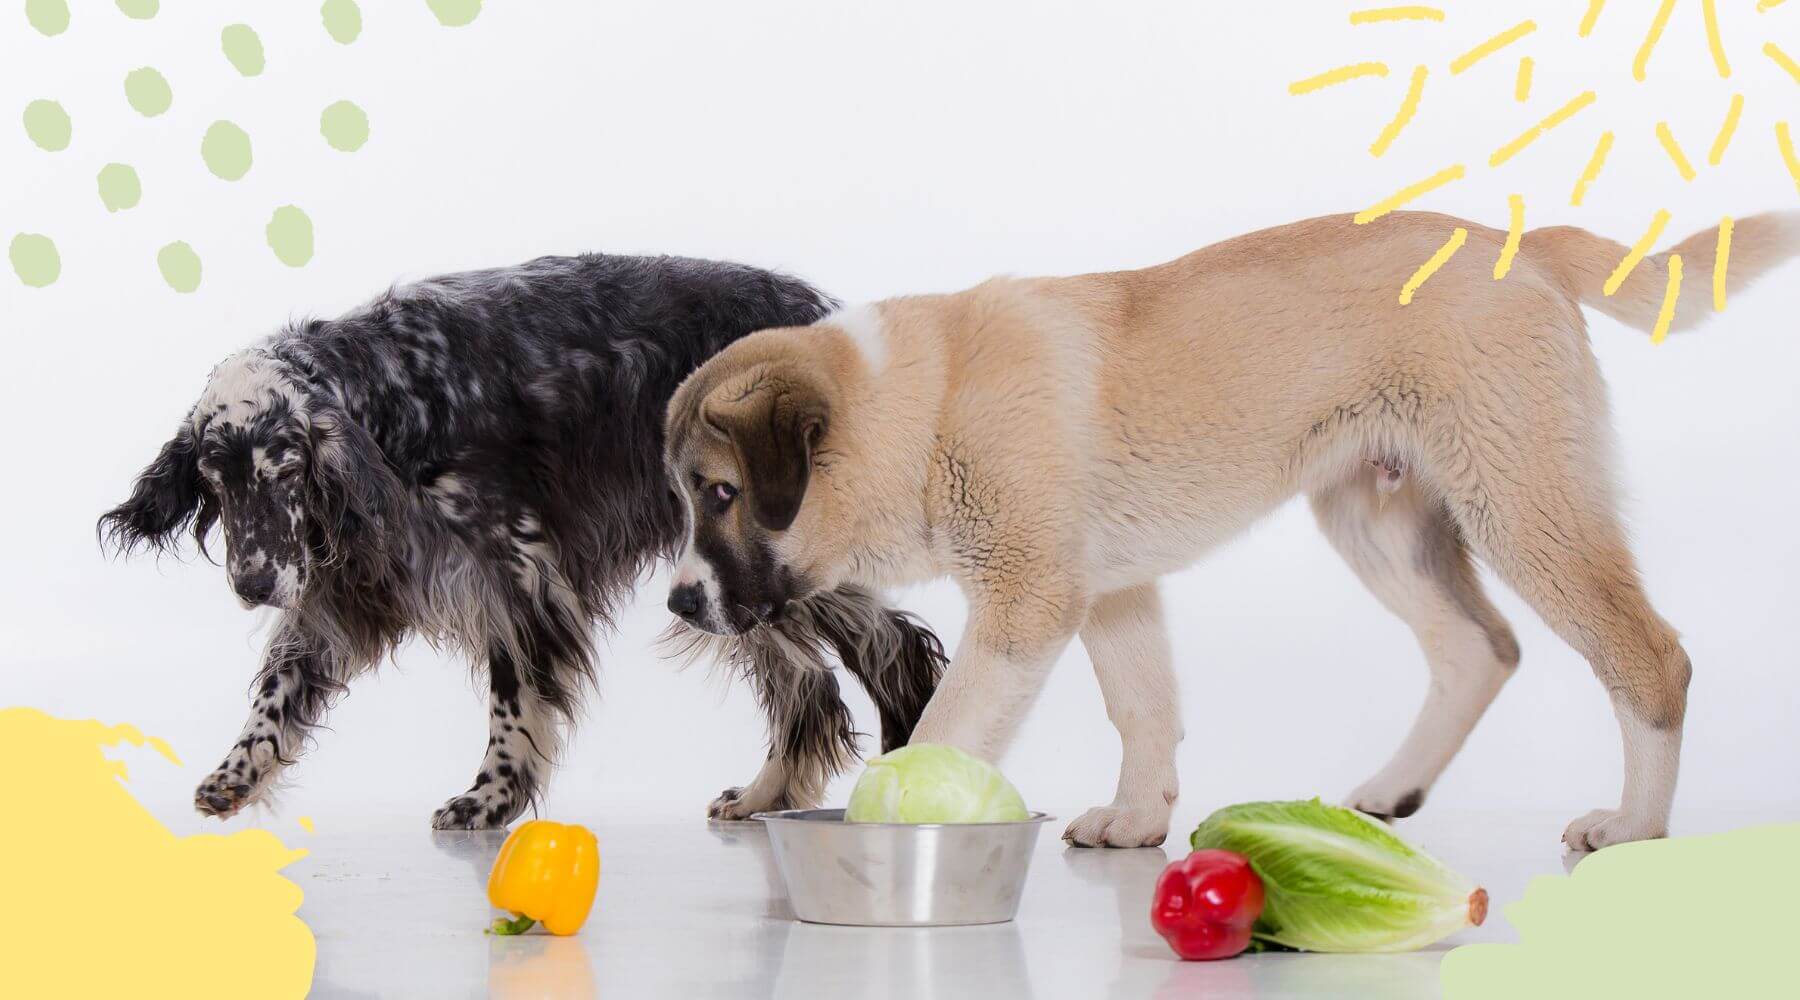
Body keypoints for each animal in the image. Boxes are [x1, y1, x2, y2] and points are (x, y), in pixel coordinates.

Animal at [98, 255, 943, 827]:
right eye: (214, 483)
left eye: (287, 471)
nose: (252, 584)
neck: (394, 394)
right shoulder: (342, 592)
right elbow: (278, 688)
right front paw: (236, 773)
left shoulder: (516, 575)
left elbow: (512, 705)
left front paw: (490, 798)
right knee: (812, 684)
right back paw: (770, 794)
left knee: (893, 647)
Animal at [662, 208, 1800, 845]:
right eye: (686, 495)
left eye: (719, 493)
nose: (677, 598)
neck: (923, 404)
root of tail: (1521, 244)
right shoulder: (1110, 591)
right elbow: (1144, 709)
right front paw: (1137, 820)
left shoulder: (1031, 600)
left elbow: (947, 727)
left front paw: (889, 820)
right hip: (1379, 519)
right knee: (1481, 647)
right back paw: (1394, 789)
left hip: (1522, 501)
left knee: (1649, 657)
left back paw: (1635, 826)